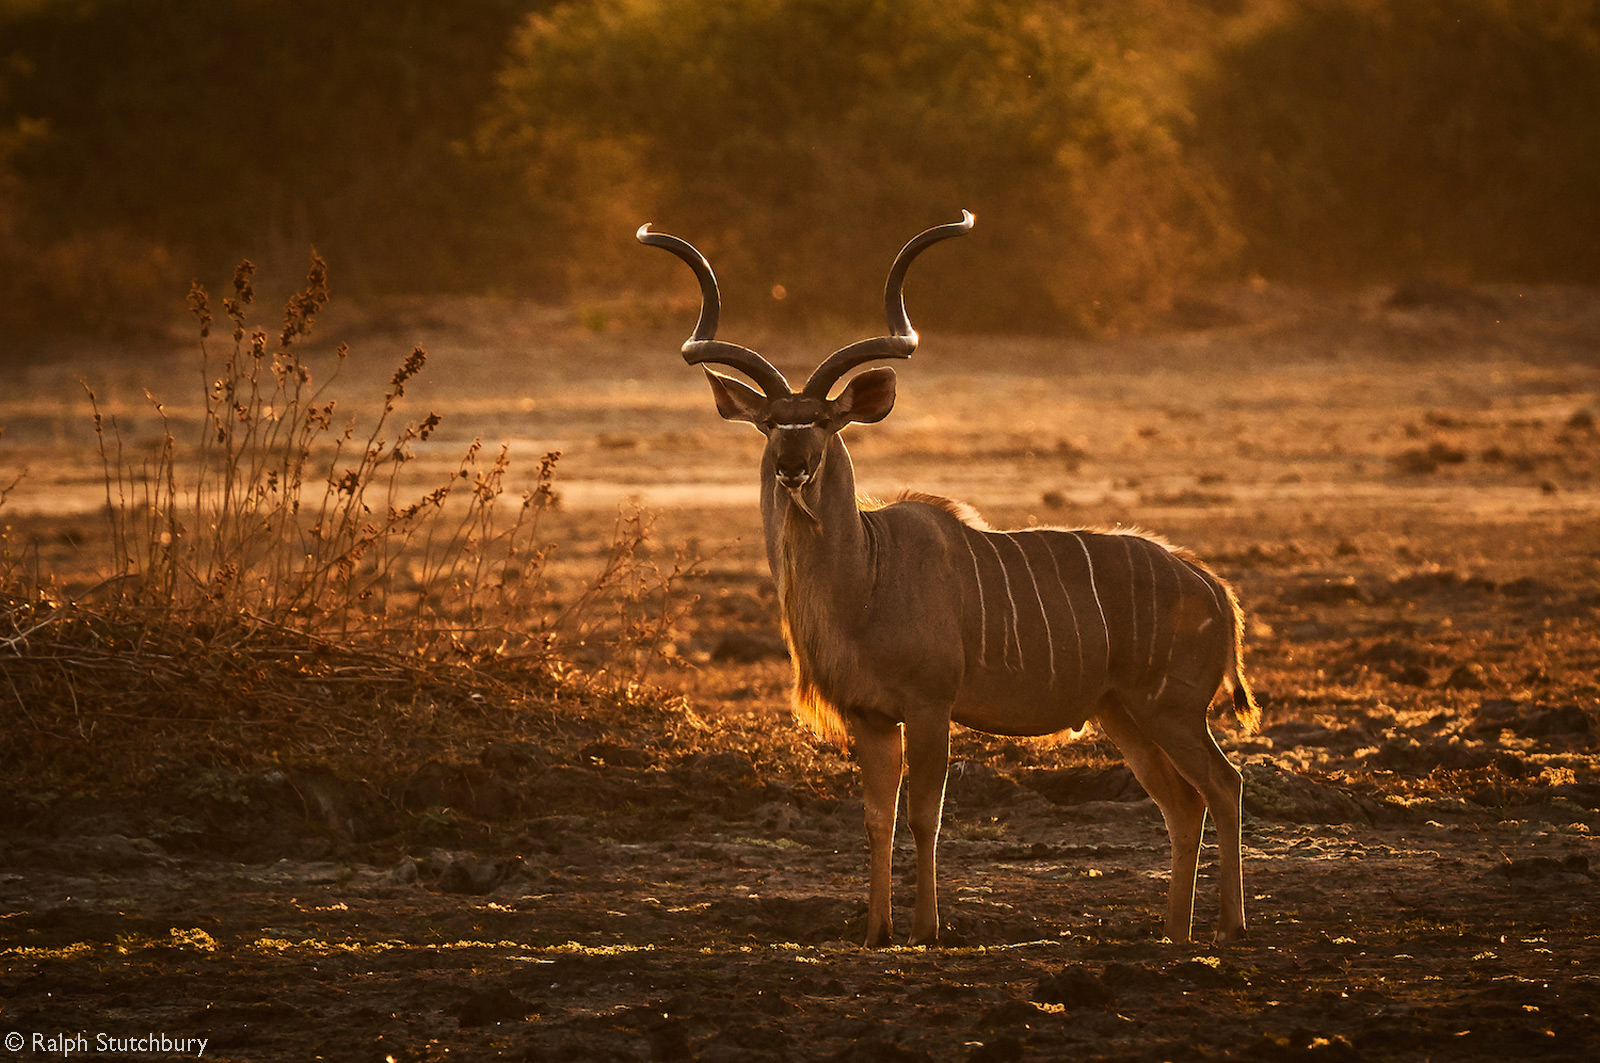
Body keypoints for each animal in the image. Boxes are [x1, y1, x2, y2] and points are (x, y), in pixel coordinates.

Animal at [640, 211, 1260, 941]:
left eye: (822, 420)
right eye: (769, 423)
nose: (793, 465)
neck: (866, 574)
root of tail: (1215, 588)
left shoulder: (930, 705)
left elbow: (923, 816)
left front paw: (924, 930)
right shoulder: (872, 716)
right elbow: (876, 819)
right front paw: (875, 932)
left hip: (1172, 710)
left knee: (1224, 785)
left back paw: (1230, 928)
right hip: (1125, 714)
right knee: (1183, 802)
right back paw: (1173, 931)